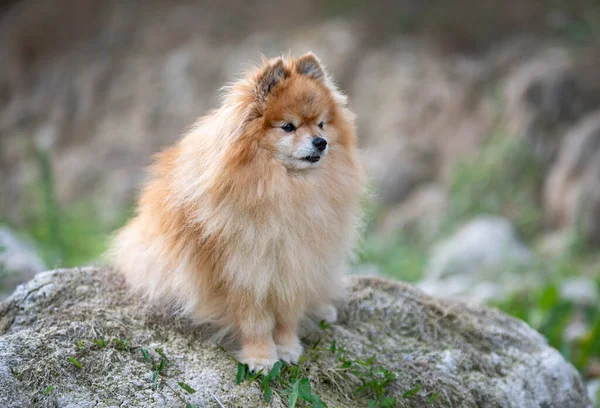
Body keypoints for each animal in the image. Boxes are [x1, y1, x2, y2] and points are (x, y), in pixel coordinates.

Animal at [109, 52, 364, 372]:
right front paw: (262, 358)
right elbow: (255, 322)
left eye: (321, 124)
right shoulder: (242, 271)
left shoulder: (296, 263)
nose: (320, 142)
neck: (284, 187)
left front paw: (288, 348)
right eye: (288, 127)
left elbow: (288, 316)